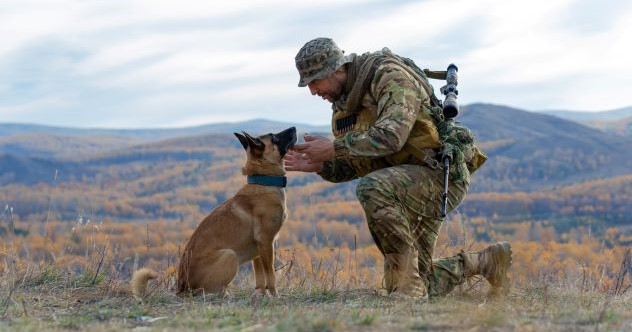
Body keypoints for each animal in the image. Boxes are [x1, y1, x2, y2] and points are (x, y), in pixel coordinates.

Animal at [131, 127, 298, 298]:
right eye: (274, 137)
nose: (294, 128)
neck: (263, 181)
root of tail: (182, 289)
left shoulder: (258, 250)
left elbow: (260, 277)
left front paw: (261, 294)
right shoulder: (266, 243)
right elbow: (270, 275)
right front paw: (275, 295)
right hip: (230, 255)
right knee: (207, 291)